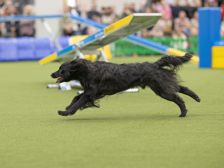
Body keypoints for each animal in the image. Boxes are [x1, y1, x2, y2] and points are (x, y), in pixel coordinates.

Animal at [51, 53, 200, 117]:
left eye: (61, 69)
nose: (52, 74)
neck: (86, 71)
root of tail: (155, 64)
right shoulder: (90, 92)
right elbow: (75, 98)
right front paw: (67, 107)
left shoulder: (90, 94)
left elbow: (78, 102)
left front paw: (65, 112)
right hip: (162, 85)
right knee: (181, 88)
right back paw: (196, 97)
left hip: (162, 89)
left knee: (178, 98)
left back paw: (183, 113)